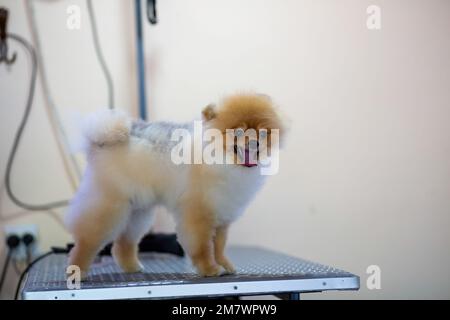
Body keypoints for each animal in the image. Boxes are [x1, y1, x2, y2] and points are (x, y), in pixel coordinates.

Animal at [66, 93, 284, 278]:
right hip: (109, 206)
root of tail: (100, 142)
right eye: (238, 132)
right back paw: (77, 271)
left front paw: (224, 265)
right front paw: (210, 269)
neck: (223, 161)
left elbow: (219, 246)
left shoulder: (221, 213)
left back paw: (132, 267)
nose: (255, 143)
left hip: (138, 210)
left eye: (262, 133)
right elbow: (204, 246)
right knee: (86, 241)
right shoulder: (198, 213)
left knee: (123, 243)